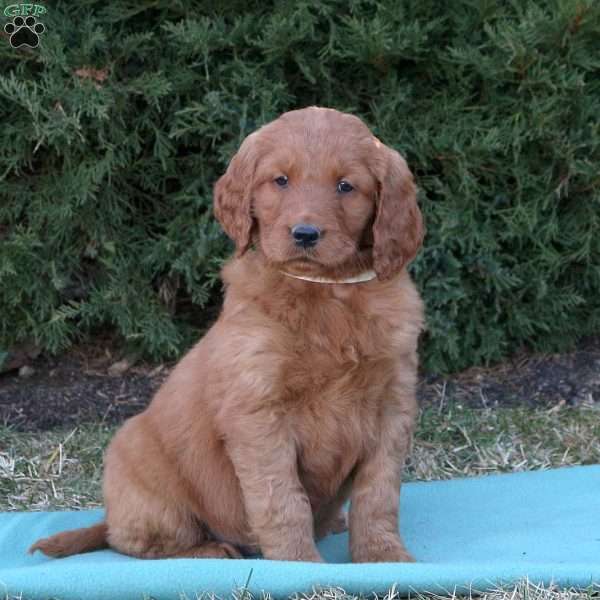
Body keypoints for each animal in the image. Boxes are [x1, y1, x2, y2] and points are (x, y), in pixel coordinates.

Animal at [30, 106, 426, 564]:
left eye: (346, 186)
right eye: (281, 180)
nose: (305, 234)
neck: (326, 292)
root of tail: (108, 517)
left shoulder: (392, 408)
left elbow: (378, 495)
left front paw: (384, 556)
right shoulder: (258, 413)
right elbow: (283, 499)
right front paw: (300, 563)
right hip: (146, 483)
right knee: (139, 543)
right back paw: (215, 549)